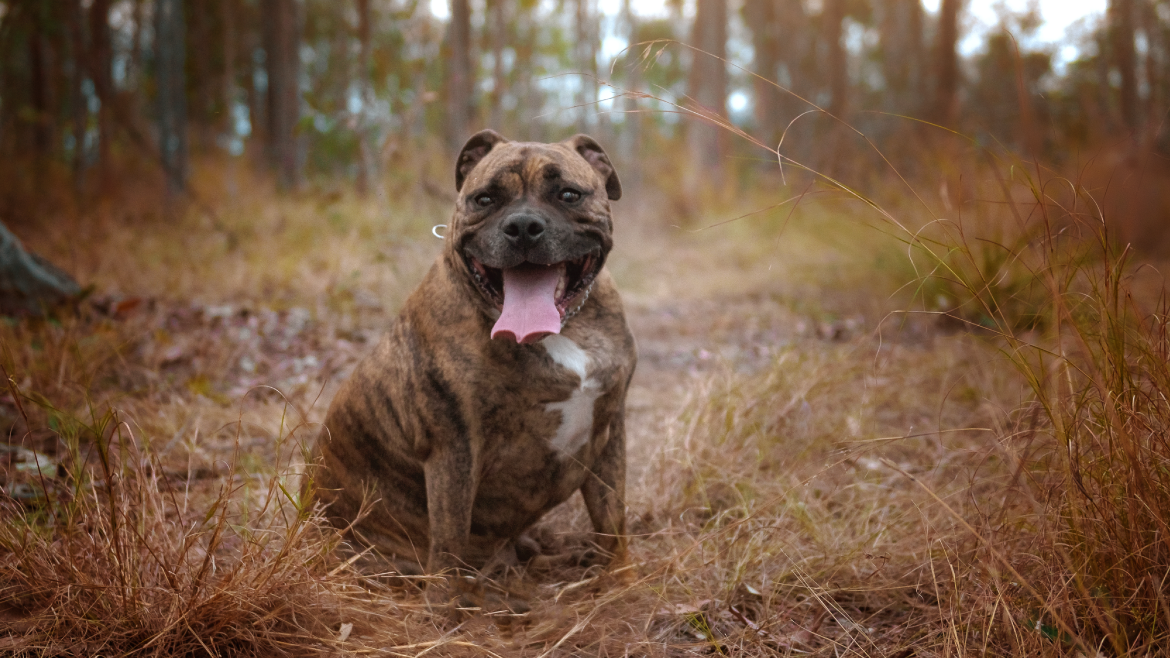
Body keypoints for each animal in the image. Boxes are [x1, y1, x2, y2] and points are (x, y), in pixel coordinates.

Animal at [311, 129, 636, 599]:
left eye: (568, 194)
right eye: (485, 199)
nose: (523, 226)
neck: (560, 332)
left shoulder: (610, 430)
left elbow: (613, 520)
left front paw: (623, 581)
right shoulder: (453, 450)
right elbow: (448, 541)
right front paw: (442, 609)